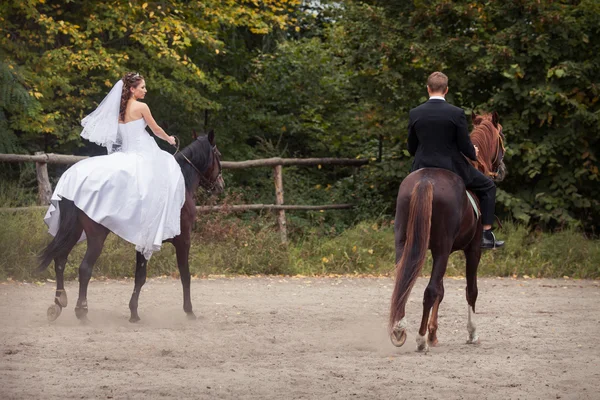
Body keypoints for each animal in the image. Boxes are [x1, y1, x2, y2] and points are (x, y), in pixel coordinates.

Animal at [38, 131, 225, 322]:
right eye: (218, 155)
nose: (221, 184)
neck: (182, 186)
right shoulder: (183, 240)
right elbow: (185, 274)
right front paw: (189, 311)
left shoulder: (143, 243)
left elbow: (140, 276)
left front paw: (133, 312)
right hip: (96, 236)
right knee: (84, 269)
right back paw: (81, 311)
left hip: (73, 230)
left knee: (60, 260)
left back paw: (59, 302)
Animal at [390, 111, 506, 350]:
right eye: (502, 136)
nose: (502, 169)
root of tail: (426, 181)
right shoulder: (472, 250)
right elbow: (470, 291)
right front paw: (471, 333)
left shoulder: (439, 252)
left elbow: (442, 292)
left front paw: (434, 334)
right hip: (443, 249)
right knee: (430, 290)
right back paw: (420, 339)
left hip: (405, 244)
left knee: (404, 283)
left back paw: (399, 330)